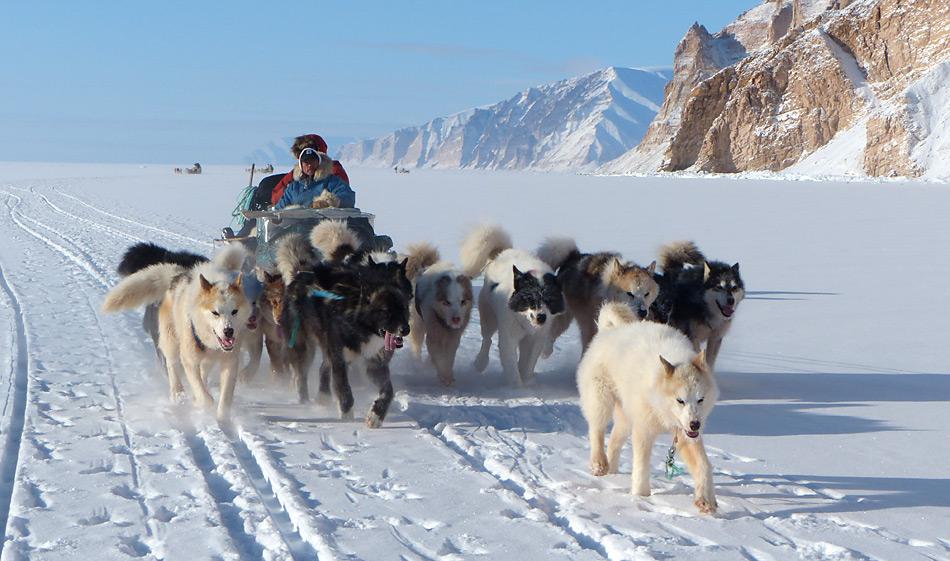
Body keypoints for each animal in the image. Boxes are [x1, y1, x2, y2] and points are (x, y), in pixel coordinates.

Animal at [580, 302, 720, 512]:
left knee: (613, 441)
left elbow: (704, 466)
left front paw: (706, 500)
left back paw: (612, 471)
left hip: (626, 419)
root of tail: (608, 331)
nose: (695, 425)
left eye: (701, 399)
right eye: (680, 400)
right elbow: (641, 466)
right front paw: (641, 496)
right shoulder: (643, 430)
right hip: (601, 402)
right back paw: (599, 464)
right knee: (596, 431)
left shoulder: (686, 436)